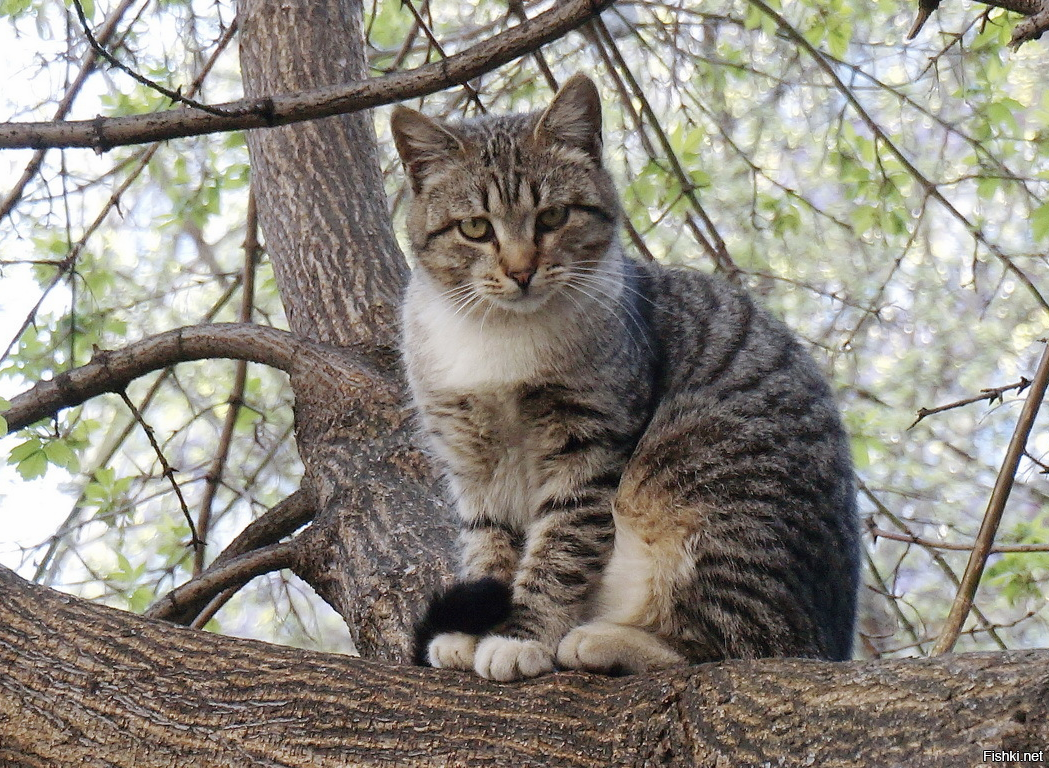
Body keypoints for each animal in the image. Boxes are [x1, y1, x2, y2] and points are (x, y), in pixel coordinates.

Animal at [394, 75, 860, 679]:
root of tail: (836, 643)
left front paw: (519, 635)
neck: (498, 336)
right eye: (475, 228)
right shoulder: (471, 459)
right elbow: (488, 545)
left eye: (553, 217)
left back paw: (604, 640)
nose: (521, 271)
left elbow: (559, 550)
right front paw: (470, 630)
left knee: (741, 644)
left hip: (710, 503)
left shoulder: (590, 442)